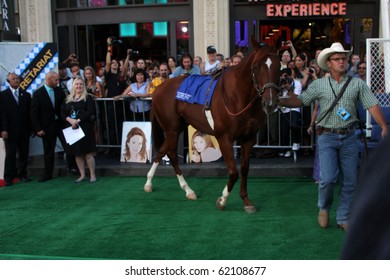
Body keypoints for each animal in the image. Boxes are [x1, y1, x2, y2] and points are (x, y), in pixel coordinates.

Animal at [143, 38, 280, 213]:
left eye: (278, 66)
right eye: (256, 67)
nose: (270, 102)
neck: (237, 96)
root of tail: (158, 89)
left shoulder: (248, 138)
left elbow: (244, 169)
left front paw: (246, 200)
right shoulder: (224, 138)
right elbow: (233, 172)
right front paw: (222, 200)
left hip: (178, 127)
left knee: (161, 151)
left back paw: (149, 183)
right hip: (172, 129)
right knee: (172, 154)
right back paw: (188, 190)